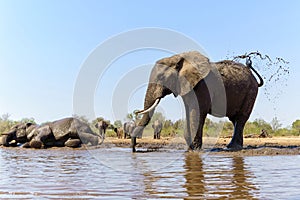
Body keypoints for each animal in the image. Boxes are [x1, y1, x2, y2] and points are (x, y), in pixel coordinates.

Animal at [131, 51, 262, 152]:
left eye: (161, 78)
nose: (134, 149)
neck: (179, 58)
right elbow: (188, 112)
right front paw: (190, 149)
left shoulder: (202, 87)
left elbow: (197, 112)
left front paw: (195, 150)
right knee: (234, 120)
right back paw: (232, 147)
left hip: (251, 92)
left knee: (240, 118)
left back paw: (233, 147)